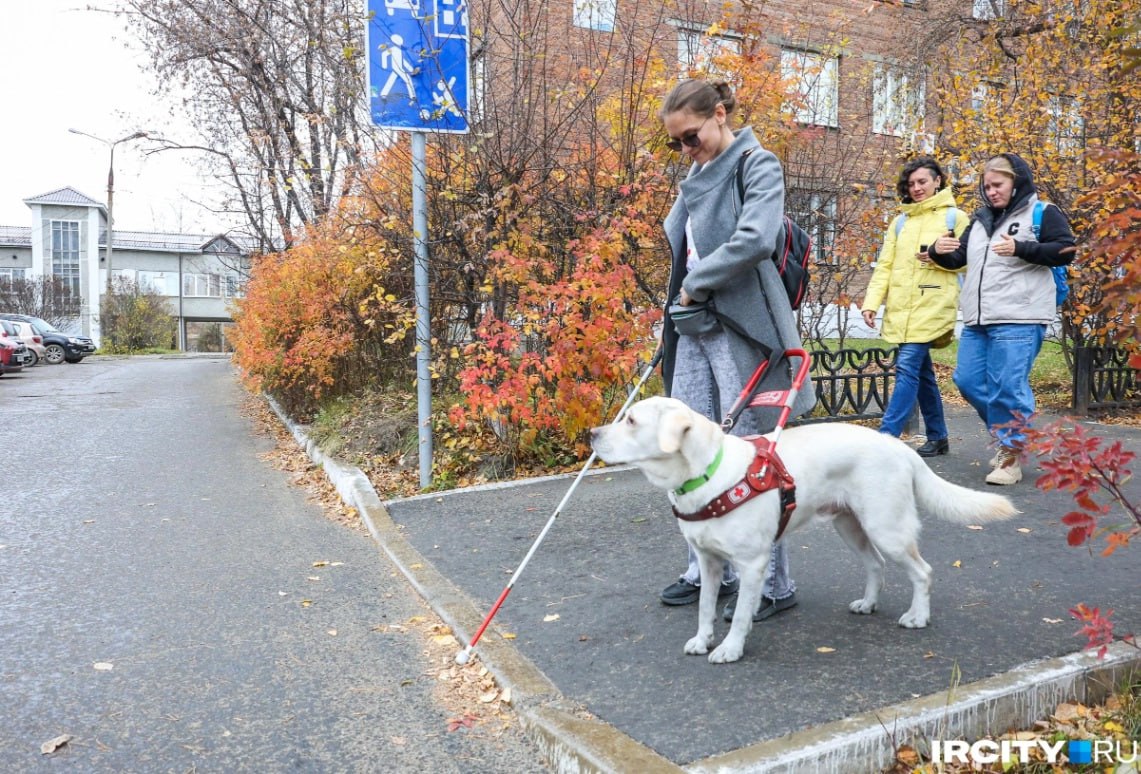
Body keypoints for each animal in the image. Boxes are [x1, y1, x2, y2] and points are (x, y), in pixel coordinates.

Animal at [588, 397, 1017, 662]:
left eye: (631, 420)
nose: (591, 434)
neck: (705, 473)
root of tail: (900, 447)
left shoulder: (753, 564)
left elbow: (740, 614)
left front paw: (730, 649)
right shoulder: (709, 563)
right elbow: (706, 608)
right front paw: (701, 639)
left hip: (887, 527)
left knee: (923, 572)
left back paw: (918, 617)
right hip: (850, 526)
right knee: (876, 565)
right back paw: (868, 603)